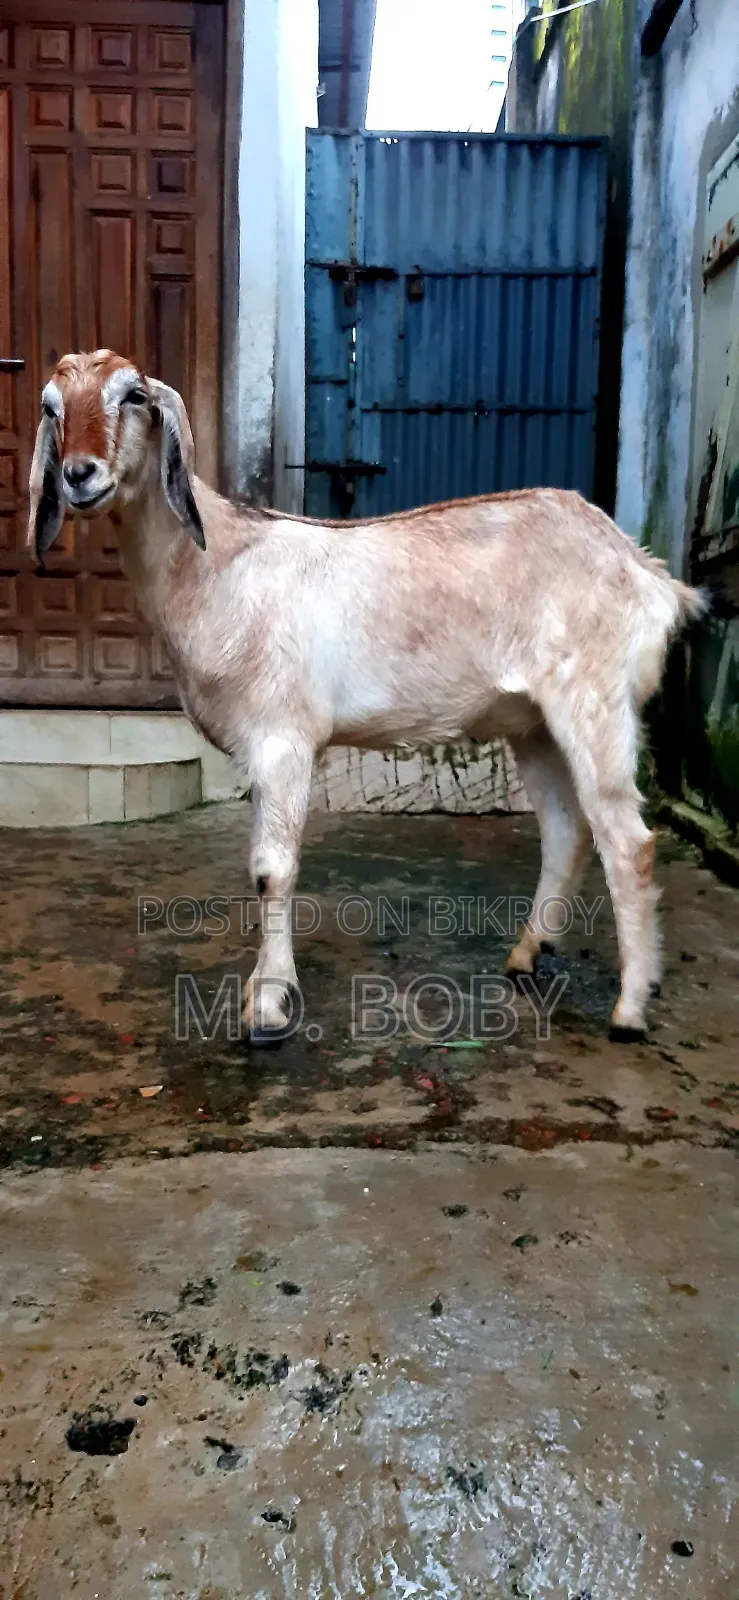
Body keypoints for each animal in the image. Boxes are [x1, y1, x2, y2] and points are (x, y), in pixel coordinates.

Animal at [29, 350, 706, 1043]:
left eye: (134, 396)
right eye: (52, 407)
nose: (80, 474)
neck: (215, 567)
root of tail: (649, 576)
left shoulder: (283, 738)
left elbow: (271, 869)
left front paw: (267, 1007)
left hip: (595, 701)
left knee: (627, 839)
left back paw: (630, 1009)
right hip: (534, 722)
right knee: (567, 830)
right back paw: (527, 954)